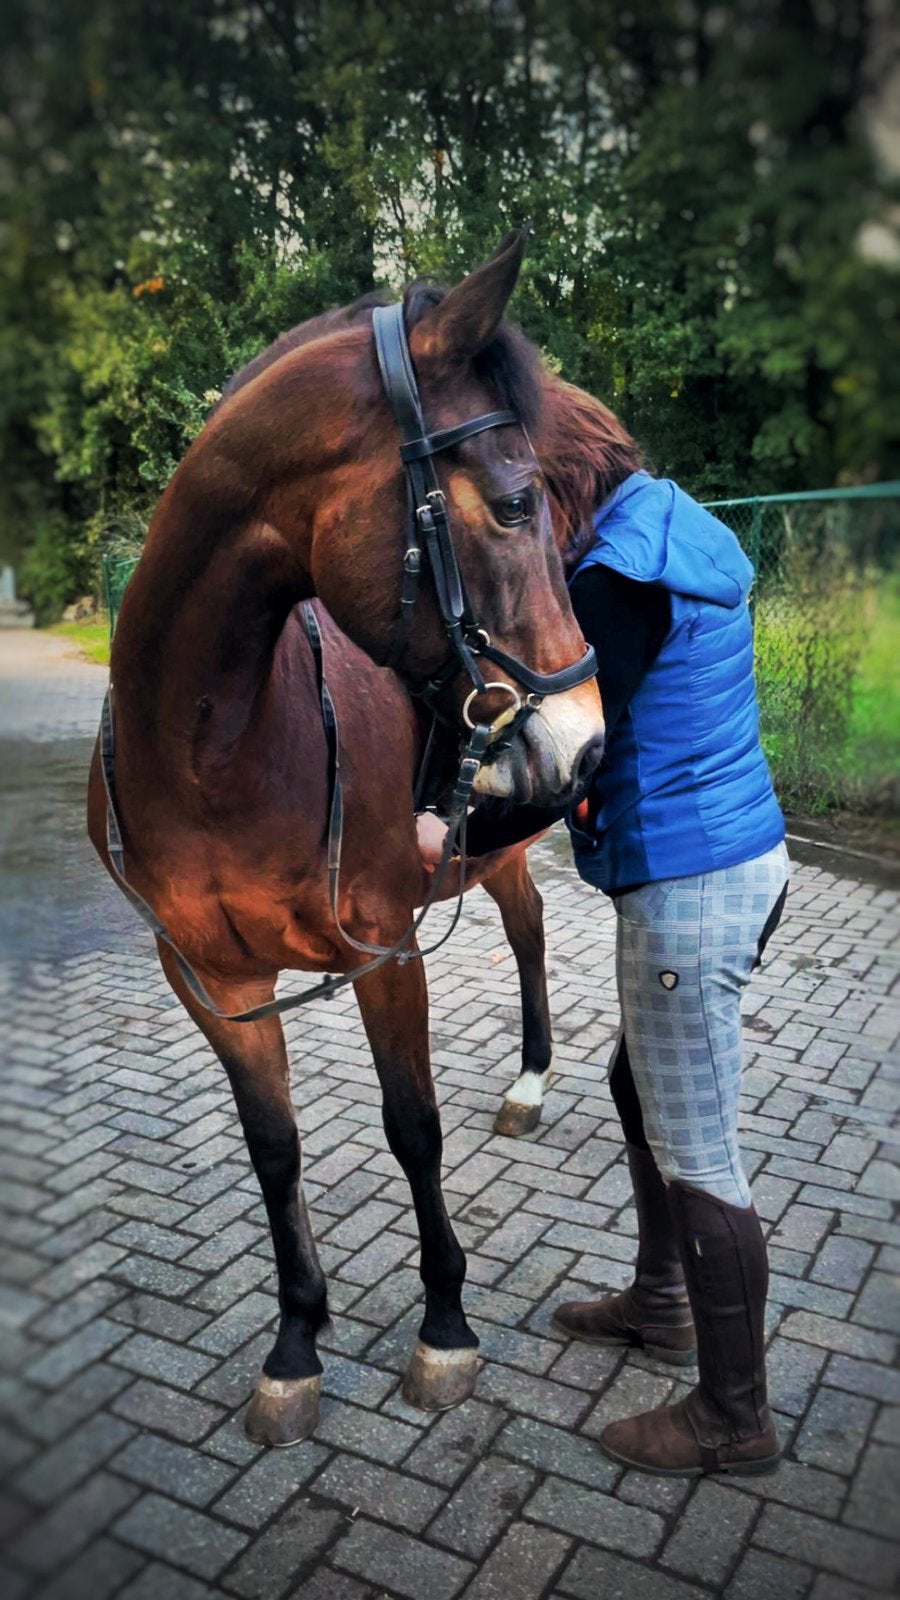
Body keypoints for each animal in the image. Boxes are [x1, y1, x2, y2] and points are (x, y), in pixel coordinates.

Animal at [87, 232, 606, 1447]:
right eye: (513, 503)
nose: (584, 739)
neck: (216, 749)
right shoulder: (210, 975)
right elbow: (272, 1147)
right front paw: (295, 1341)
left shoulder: (385, 947)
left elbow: (411, 1124)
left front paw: (445, 1329)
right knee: (530, 923)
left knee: (536, 937)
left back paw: (533, 1082)